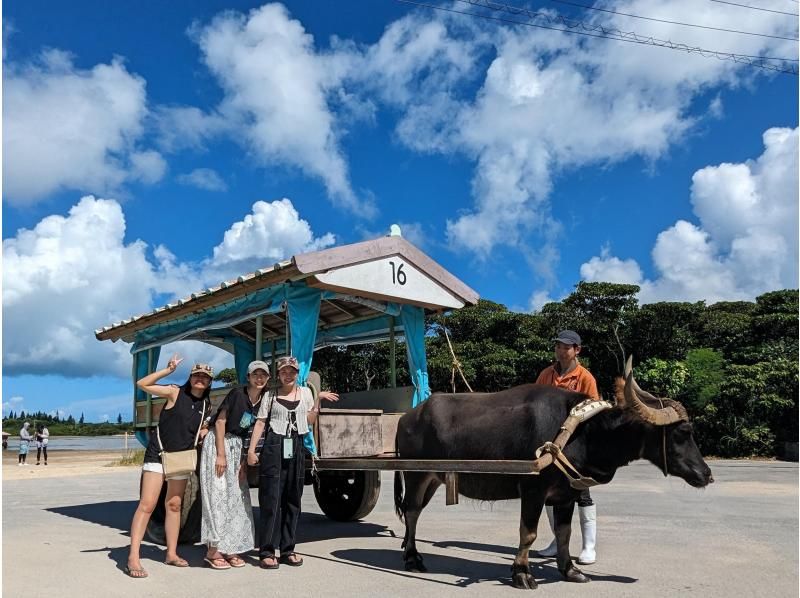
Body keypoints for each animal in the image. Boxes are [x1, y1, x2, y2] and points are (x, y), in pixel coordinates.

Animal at [394, 370, 712, 592]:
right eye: (682, 432)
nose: (706, 474)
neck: (582, 432)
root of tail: (407, 418)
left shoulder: (566, 494)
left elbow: (564, 532)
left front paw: (570, 570)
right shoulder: (532, 490)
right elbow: (528, 533)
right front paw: (522, 574)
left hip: (433, 478)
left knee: (413, 512)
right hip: (415, 475)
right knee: (412, 512)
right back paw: (412, 558)